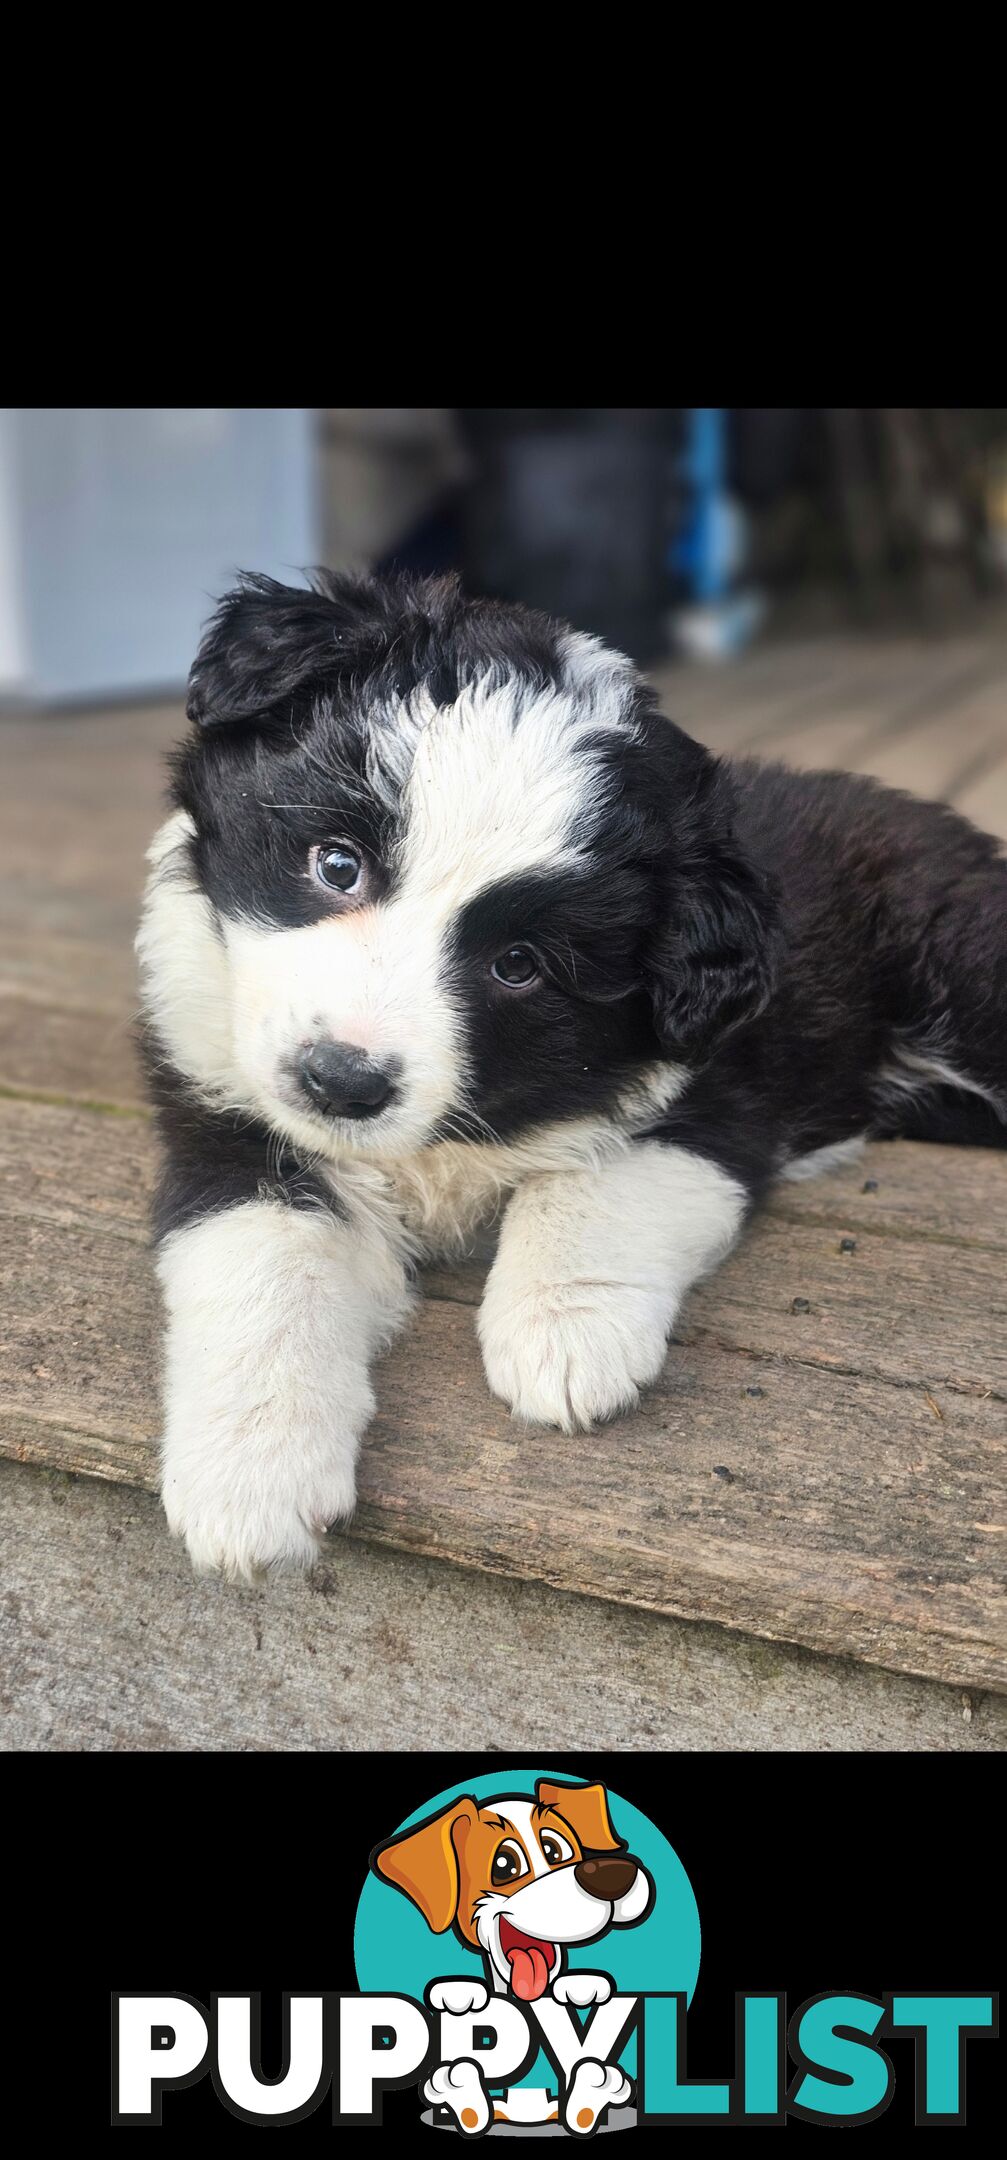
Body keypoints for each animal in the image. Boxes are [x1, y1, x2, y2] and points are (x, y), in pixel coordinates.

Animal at [135, 570, 1007, 1589]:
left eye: (518, 965)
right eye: (336, 864)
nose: (341, 1083)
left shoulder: (712, 1091)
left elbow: (593, 1181)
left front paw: (562, 1333)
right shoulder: (225, 1112)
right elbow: (264, 1262)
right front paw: (250, 1472)